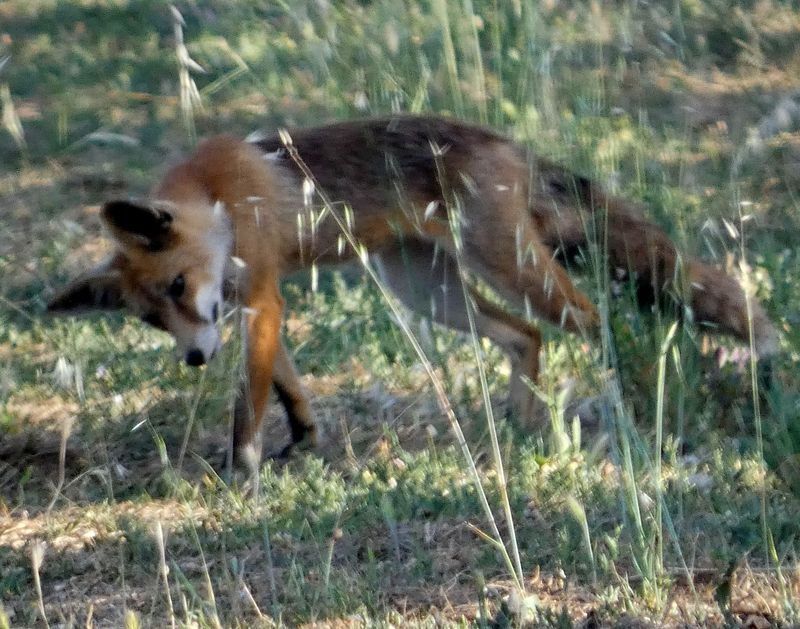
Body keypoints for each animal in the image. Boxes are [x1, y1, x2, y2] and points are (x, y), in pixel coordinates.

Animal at [48, 115, 778, 475]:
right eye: (152, 319)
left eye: (177, 285)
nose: (195, 358)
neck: (218, 197)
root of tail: (505, 143)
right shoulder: (242, 306)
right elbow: (285, 385)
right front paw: (301, 441)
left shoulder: (258, 297)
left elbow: (248, 402)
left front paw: (241, 468)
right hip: (432, 293)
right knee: (527, 335)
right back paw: (522, 424)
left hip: (507, 269)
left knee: (592, 320)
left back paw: (622, 400)